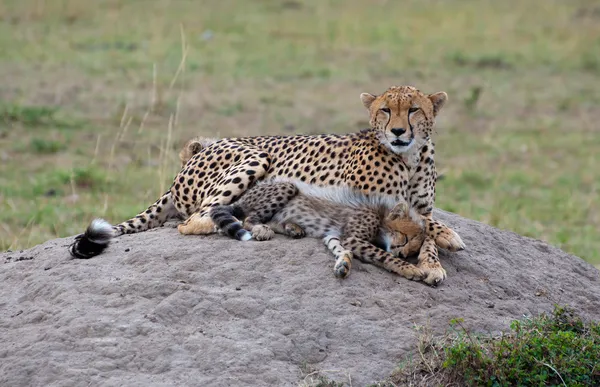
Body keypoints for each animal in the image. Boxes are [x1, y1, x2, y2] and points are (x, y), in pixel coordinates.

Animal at [71, 86, 464, 284]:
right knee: (199, 219)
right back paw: (260, 230)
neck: (409, 157)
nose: (397, 131)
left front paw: (433, 264)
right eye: (385, 110)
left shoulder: (413, 207)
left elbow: (426, 230)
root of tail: (190, 159)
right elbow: (428, 226)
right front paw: (447, 239)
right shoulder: (365, 204)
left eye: (413, 109)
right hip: (255, 156)